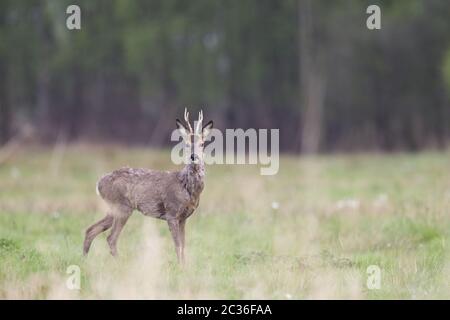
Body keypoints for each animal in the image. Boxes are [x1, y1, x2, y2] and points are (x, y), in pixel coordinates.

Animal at [82, 109, 213, 264]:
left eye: (202, 144)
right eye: (186, 145)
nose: (193, 157)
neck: (187, 188)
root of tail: (99, 183)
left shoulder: (183, 218)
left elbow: (184, 246)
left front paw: (184, 266)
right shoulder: (172, 213)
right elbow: (178, 245)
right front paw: (180, 266)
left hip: (112, 208)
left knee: (91, 230)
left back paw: (84, 260)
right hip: (122, 207)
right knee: (111, 238)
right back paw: (120, 263)